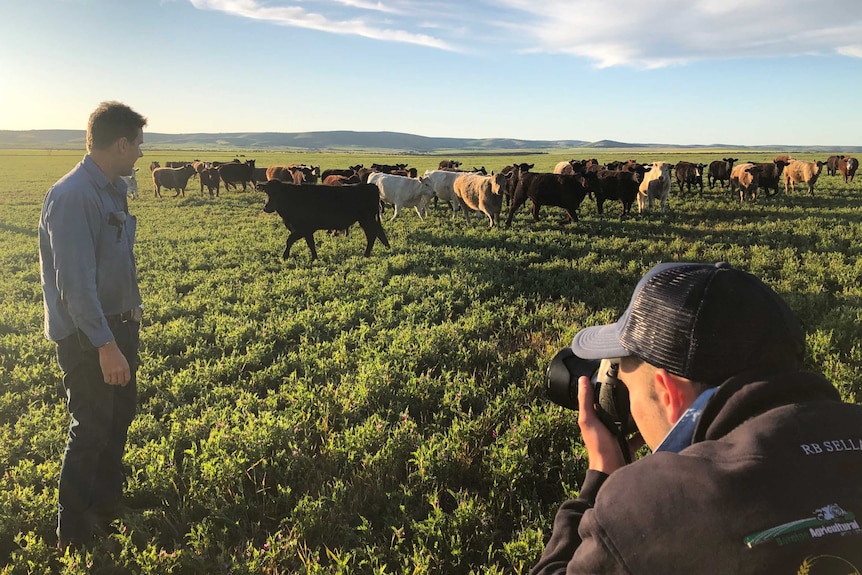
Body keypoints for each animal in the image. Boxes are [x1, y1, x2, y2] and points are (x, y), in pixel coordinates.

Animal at [256, 180, 392, 260]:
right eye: (266, 193)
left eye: (278, 193)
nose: (266, 207)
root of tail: (371, 186)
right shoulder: (307, 230)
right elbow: (310, 244)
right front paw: (315, 258)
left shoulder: (303, 228)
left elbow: (289, 240)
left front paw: (285, 256)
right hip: (368, 219)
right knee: (378, 233)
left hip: (366, 219)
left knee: (372, 234)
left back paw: (366, 254)